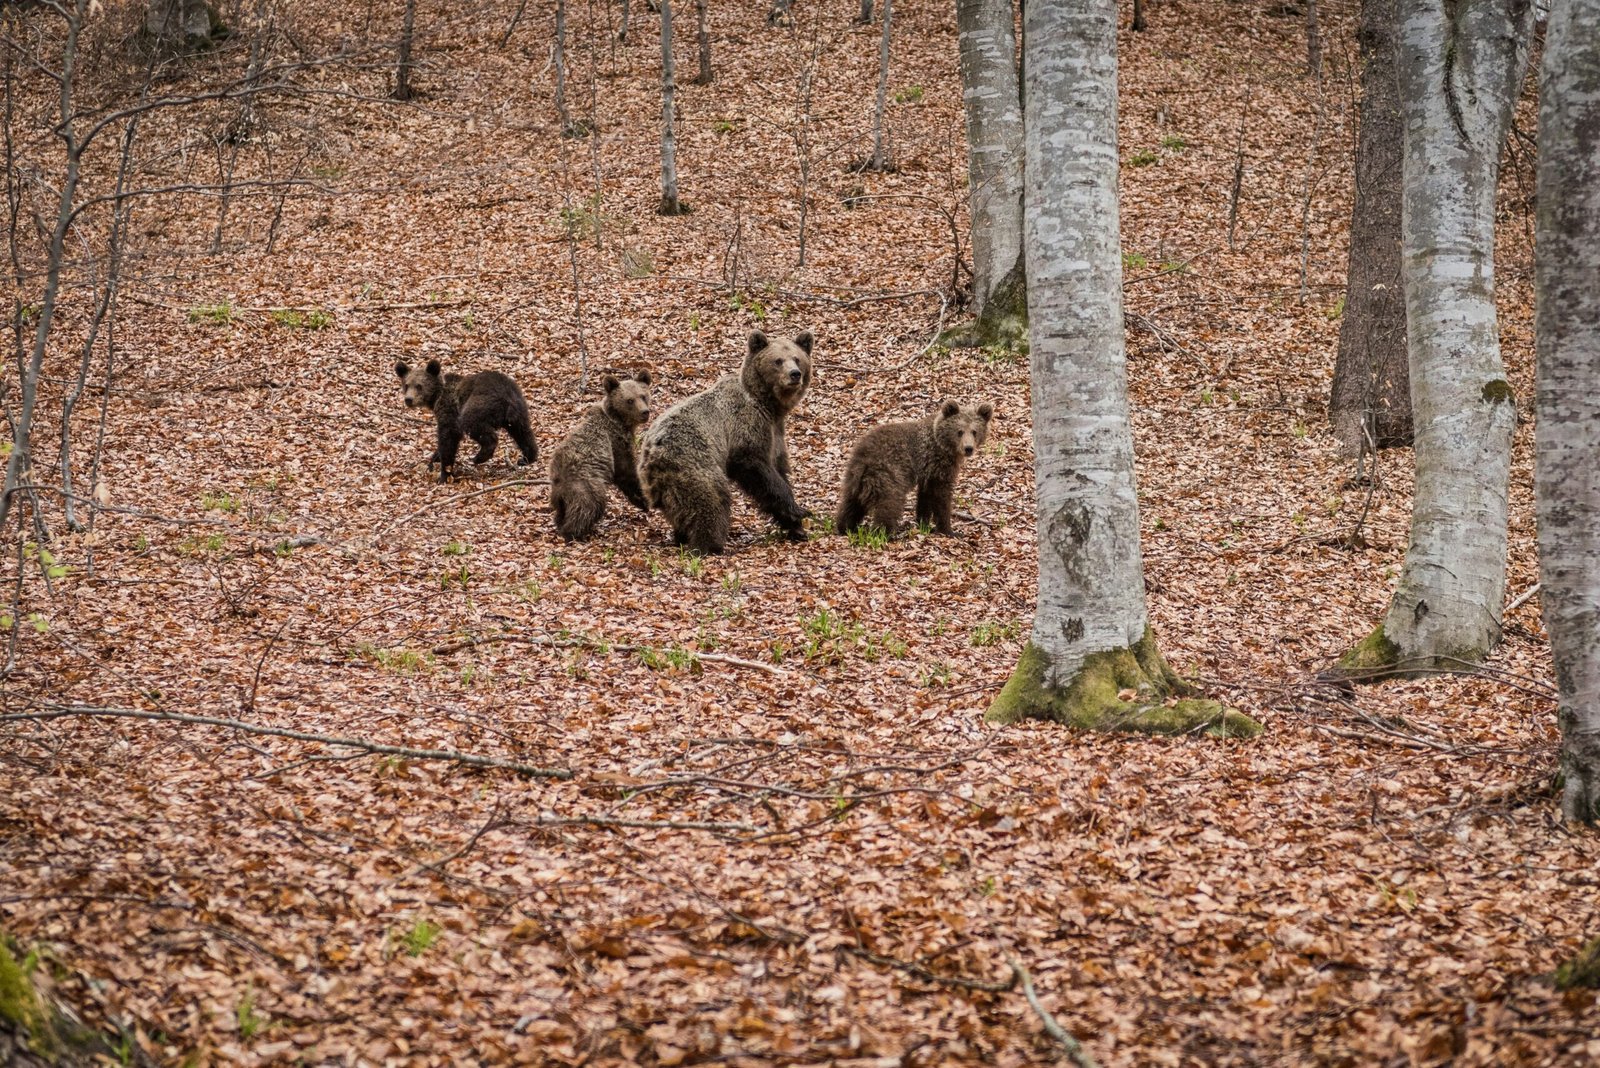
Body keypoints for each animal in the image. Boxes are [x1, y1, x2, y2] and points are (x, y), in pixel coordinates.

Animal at [394, 359, 538, 482]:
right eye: (406, 385)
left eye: (419, 386)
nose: (409, 399)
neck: (436, 398)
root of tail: (506, 393)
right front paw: (434, 459)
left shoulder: (449, 411)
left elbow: (448, 438)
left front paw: (444, 474)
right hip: (519, 409)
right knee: (523, 432)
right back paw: (527, 457)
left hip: (479, 404)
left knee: (475, 425)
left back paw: (479, 457)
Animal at [548, 370, 653, 542]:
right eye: (630, 400)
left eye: (643, 396)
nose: (645, 412)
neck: (620, 422)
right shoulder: (615, 442)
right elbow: (626, 471)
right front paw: (642, 500)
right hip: (585, 484)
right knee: (590, 506)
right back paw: (574, 533)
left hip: (561, 497)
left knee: (561, 512)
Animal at [639, 330, 815, 555]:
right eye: (778, 360)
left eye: (797, 358)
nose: (794, 374)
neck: (769, 406)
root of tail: (649, 455)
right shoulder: (746, 426)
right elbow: (755, 466)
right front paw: (798, 511)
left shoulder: (776, 434)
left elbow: (779, 469)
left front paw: (795, 526)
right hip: (691, 462)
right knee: (712, 499)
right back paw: (710, 544)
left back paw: (681, 536)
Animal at [834, 399, 994, 537]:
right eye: (960, 431)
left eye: (974, 431)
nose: (968, 448)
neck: (943, 445)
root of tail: (864, 457)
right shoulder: (938, 465)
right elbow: (941, 496)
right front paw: (949, 530)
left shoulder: (927, 472)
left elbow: (925, 497)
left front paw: (924, 523)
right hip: (888, 474)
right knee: (889, 504)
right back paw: (885, 533)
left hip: (854, 478)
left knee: (851, 503)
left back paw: (846, 527)